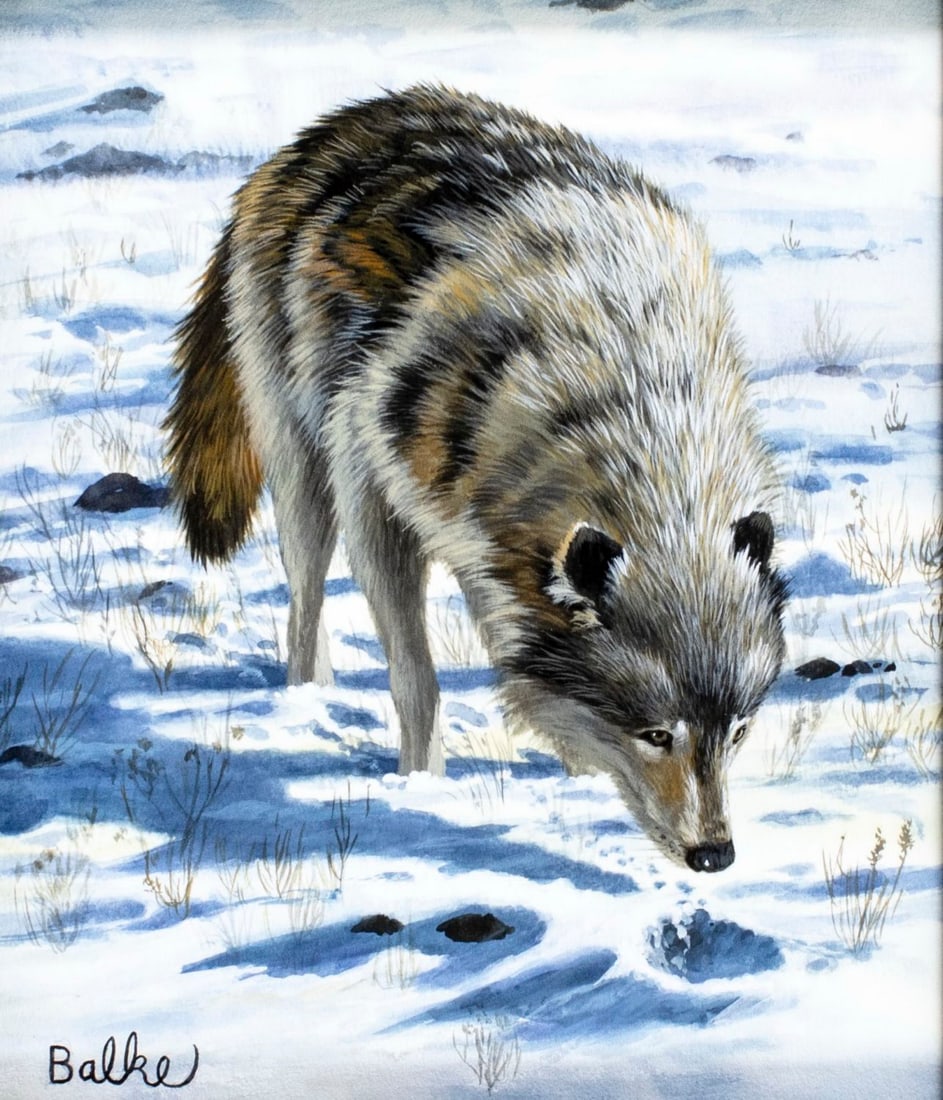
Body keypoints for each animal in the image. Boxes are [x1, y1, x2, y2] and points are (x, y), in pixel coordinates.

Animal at [165, 85, 787, 873]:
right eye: (655, 734)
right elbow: (416, 678)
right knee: (305, 595)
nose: (715, 856)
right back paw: (306, 694)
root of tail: (327, 129)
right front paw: (420, 787)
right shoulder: (374, 494)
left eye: (737, 731)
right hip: (303, 464)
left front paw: (575, 775)